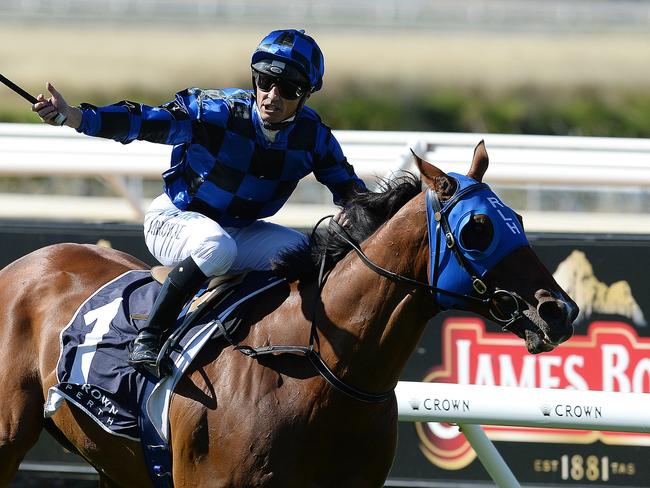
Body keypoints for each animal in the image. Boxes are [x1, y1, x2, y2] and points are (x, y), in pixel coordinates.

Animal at [1, 142, 576, 488]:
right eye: (478, 228)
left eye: (517, 217)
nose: (559, 311)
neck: (321, 366)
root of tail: (24, 264)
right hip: (9, 436)